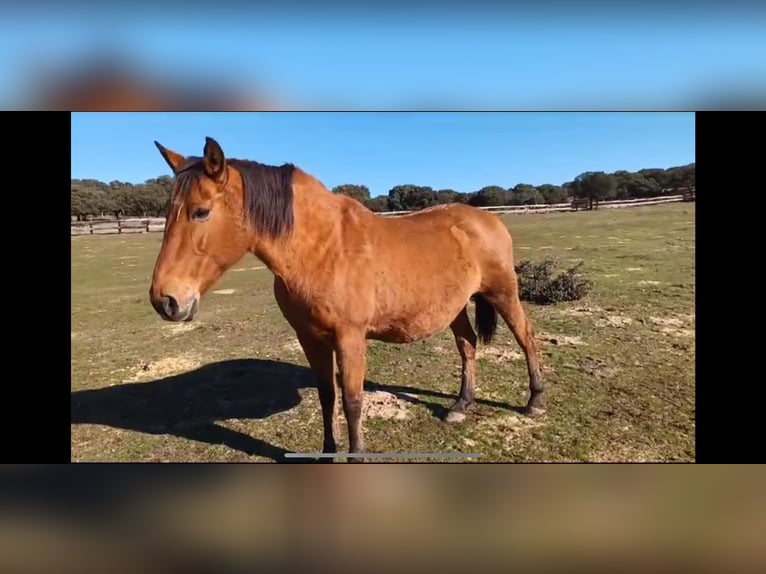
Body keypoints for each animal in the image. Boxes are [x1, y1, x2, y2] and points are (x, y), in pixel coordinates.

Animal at [150, 137, 544, 466]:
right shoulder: (310, 338)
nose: (165, 300)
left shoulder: (350, 338)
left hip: (503, 292)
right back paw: (461, 405)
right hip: (456, 305)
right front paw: (328, 452)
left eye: (201, 211)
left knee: (526, 338)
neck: (323, 249)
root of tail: (488, 218)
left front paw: (356, 456)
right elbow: (328, 396)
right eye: (167, 213)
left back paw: (534, 401)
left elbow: (353, 401)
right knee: (468, 345)